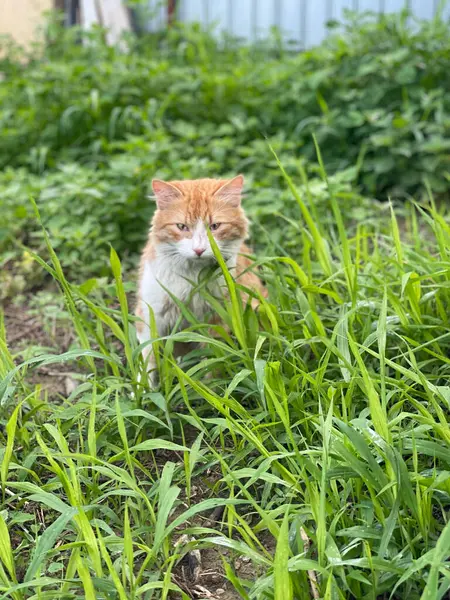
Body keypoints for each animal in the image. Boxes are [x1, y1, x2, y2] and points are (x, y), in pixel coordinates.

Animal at [135, 175, 266, 384]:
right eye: (181, 227)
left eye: (215, 226)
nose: (199, 250)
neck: (191, 280)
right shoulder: (150, 315)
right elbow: (147, 363)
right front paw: (144, 391)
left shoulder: (215, 320)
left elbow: (211, 362)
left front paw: (208, 388)